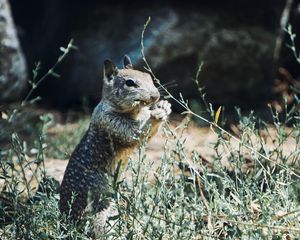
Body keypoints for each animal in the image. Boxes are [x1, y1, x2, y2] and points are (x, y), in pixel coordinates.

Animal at [59, 54, 172, 221]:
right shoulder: (111, 122)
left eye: (148, 76)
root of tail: (63, 214)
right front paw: (156, 114)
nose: (156, 96)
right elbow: (134, 134)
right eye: (130, 83)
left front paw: (164, 106)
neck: (135, 112)